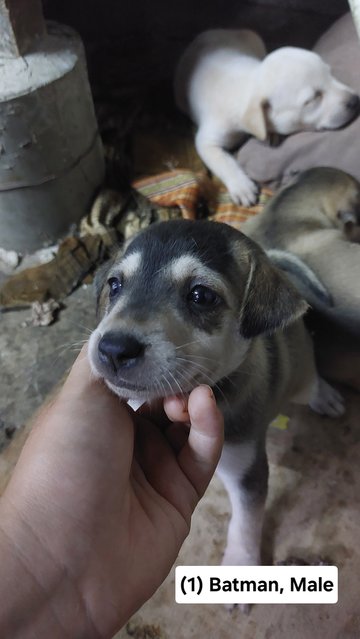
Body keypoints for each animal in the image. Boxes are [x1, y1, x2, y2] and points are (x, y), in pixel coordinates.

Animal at [88, 221, 344, 576]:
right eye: (114, 285)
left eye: (201, 296)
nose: (113, 349)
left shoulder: (246, 468)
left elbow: (245, 522)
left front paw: (241, 561)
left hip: (301, 380)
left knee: (314, 381)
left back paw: (326, 397)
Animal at [173, 29, 358, 205]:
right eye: (313, 99)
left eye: (331, 74)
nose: (356, 100)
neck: (248, 84)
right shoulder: (209, 139)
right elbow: (222, 160)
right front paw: (241, 186)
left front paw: (273, 134)